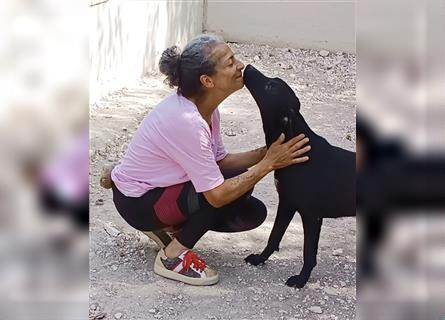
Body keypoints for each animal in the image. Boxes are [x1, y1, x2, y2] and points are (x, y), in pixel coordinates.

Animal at [241, 64, 356, 288]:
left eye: (270, 86)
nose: (248, 67)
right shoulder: (287, 203)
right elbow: (274, 236)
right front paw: (260, 259)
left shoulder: (311, 216)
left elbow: (308, 253)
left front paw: (301, 279)